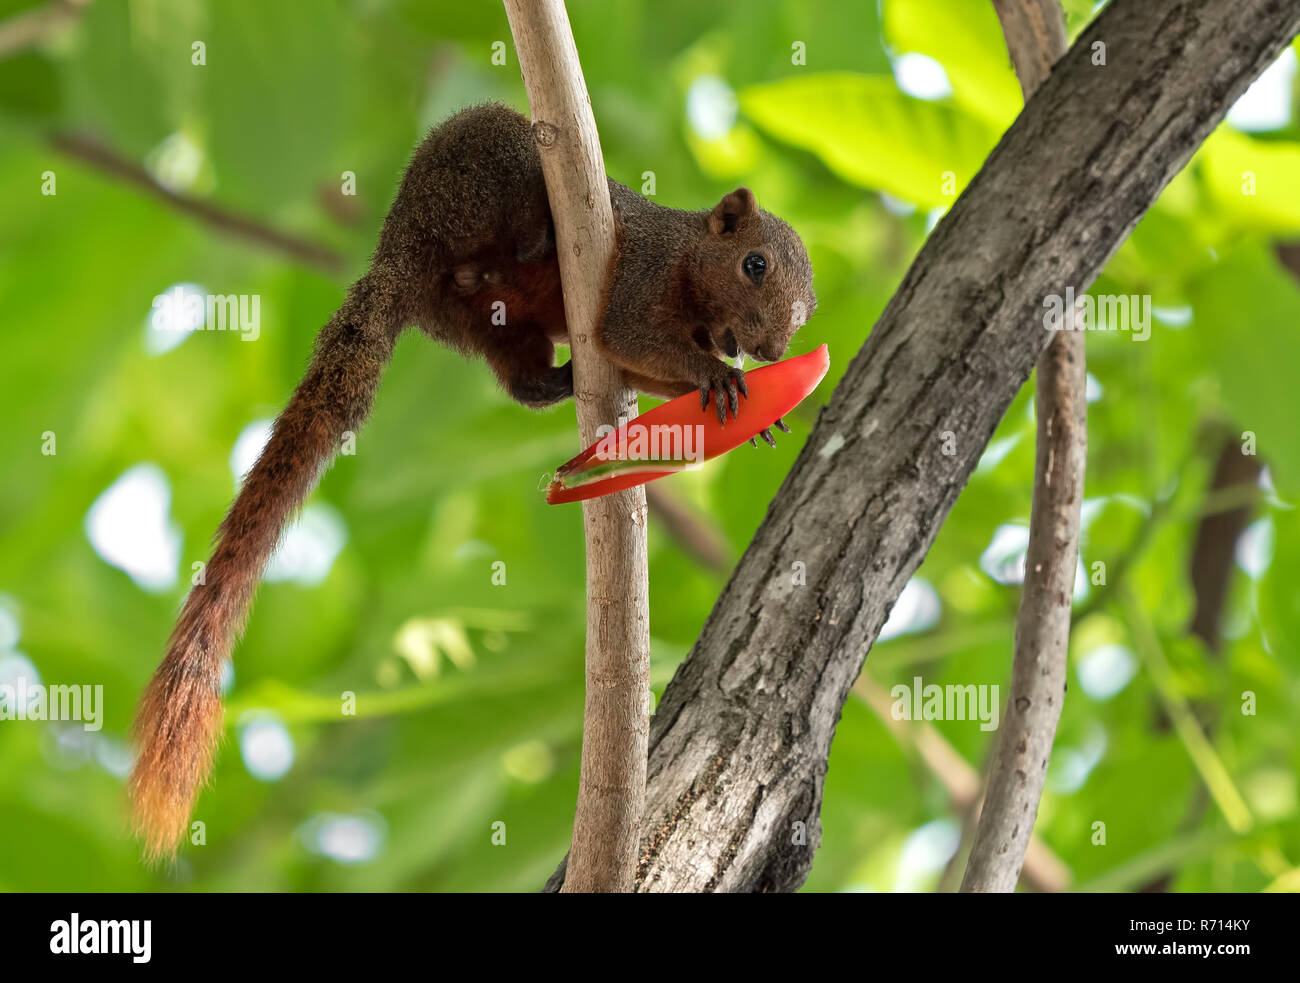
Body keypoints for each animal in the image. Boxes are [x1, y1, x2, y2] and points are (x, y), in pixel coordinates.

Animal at [129, 102, 817, 858]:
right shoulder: (642, 271)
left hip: (486, 323)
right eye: (754, 264)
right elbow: (630, 335)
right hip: (490, 167)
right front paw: (718, 376)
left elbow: (637, 365)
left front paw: (747, 403)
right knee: (505, 222)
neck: (692, 270)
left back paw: (556, 371)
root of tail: (396, 253)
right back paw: (534, 235)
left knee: (517, 373)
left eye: (806, 312)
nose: (772, 349)